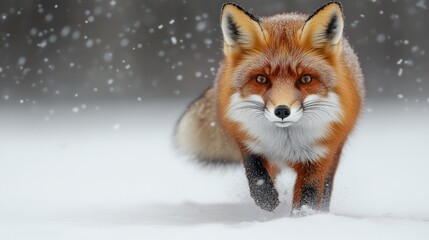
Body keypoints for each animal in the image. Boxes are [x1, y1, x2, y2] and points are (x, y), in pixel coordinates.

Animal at [174, 1, 362, 212]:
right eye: (261, 79)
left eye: (305, 79)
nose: (282, 111)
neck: (287, 143)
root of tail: (287, 15)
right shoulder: (248, 141)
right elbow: (255, 171)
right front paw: (265, 198)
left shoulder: (318, 156)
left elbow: (309, 196)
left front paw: (305, 215)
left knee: (326, 188)